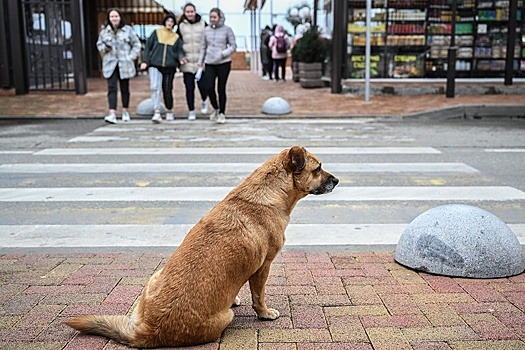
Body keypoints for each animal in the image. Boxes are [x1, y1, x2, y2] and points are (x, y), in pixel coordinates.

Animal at [65, 145, 338, 348]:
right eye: (318, 168)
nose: (337, 180)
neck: (268, 192)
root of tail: (146, 332)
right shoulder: (264, 267)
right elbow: (258, 297)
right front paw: (264, 313)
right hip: (225, 317)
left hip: (154, 277)